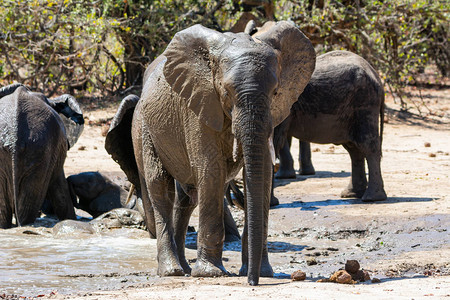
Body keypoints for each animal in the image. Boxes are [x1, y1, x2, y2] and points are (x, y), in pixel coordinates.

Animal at [107, 21, 314, 286]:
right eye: (226, 91)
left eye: (276, 91)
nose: (252, 282)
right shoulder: (199, 105)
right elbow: (212, 171)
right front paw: (210, 273)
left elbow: (263, 175)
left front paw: (263, 272)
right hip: (144, 127)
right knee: (161, 188)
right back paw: (172, 271)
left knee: (187, 199)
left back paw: (185, 268)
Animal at [272, 51, 388, 202]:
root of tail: (376, 75)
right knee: (354, 149)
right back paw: (351, 194)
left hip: (365, 103)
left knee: (368, 146)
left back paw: (371, 198)